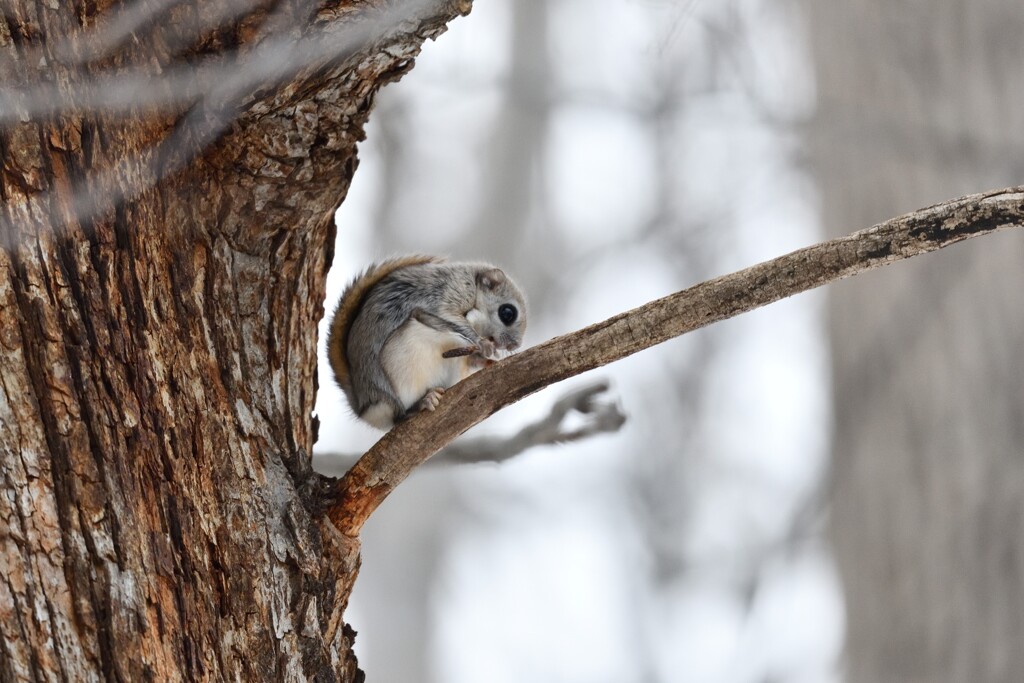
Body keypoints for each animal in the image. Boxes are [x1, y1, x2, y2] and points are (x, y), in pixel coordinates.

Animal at [327, 253, 528, 430]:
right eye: (507, 313)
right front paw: (484, 344)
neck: (473, 283)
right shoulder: (448, 295)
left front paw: (488, 360)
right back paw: (422, 402)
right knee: (399, 416)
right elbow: (449, 320)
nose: (514, 345)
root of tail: (364, 406)